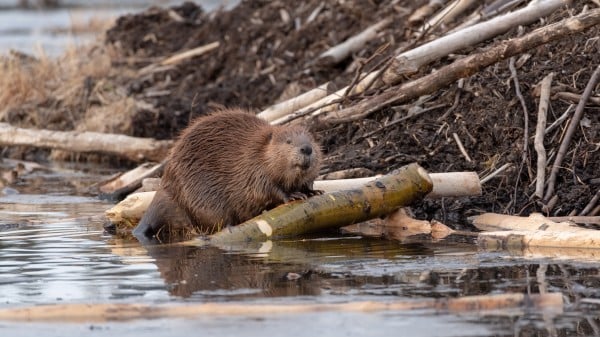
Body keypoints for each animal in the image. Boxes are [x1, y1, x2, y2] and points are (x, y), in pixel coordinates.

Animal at [133, 108, 322, 242]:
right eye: (288, 141)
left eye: (311, 141)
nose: (306, 148)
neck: (260, 151)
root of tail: (163, 191)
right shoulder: (253, 168)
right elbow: (267, 189)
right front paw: (293, 195)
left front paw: (314, 191)